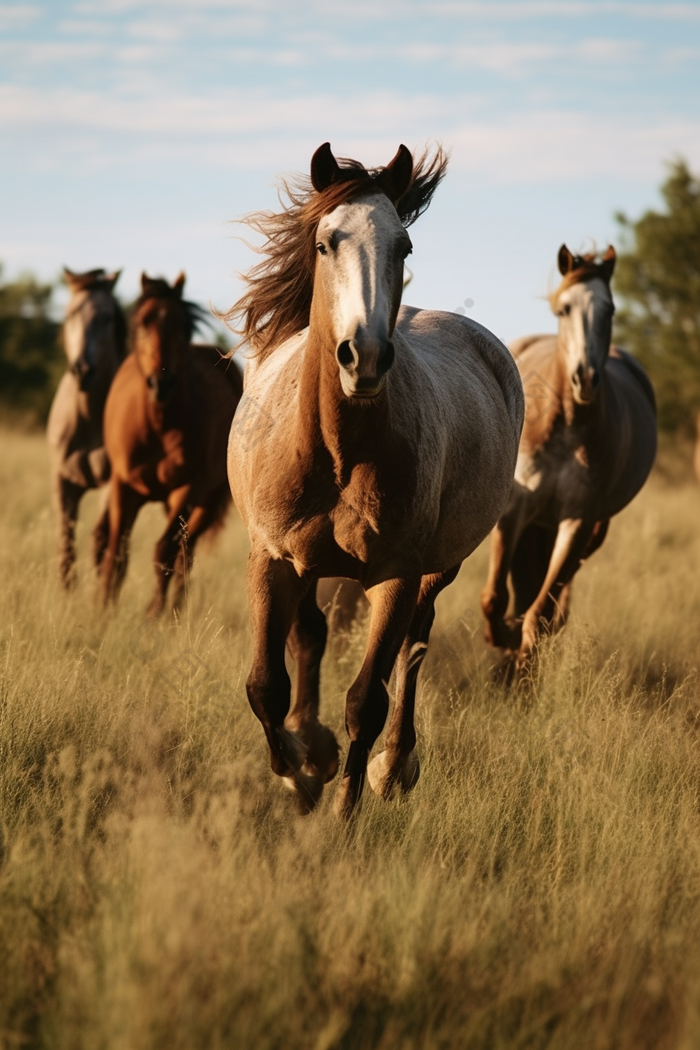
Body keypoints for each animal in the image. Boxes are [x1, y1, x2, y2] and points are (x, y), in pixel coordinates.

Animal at [97, 273, 242, 613]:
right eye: (142, 323)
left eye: (184, 327)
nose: (161, 383)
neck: (157, 426)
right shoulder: (124, 487)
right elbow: (117, 550)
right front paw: (104, 610)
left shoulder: (186, 491)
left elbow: (163, 552)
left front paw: (154, 615)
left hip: (205, 503)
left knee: (186, 553)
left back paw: (175, 608)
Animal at [227, 143, 522, 814]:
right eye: (324, 242)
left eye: (403, 246)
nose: (364, 356)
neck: (336, 453)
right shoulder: (270, 559)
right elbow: (264, 684)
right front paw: (302, 771)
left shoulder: (396, 574)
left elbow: (367, 699)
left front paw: (345, 807)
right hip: (310, 565)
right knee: (310, 635)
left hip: (440, 568)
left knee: (413, 647)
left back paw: (393, 765)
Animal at [482, 247, 659, 663]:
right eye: (564, 309)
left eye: (610, 310)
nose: (585, 378)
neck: (565, 426)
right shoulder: (515, 510)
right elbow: (495, 599)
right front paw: (502, 637)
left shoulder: (578, 522)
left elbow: (539, 616)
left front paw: (520, 653)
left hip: (587, 534)